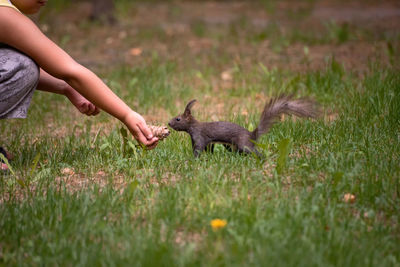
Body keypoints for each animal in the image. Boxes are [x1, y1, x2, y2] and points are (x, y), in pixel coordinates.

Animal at [169, 94, 318, 158]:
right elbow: (209, 148)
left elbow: (198, 149)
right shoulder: (207, 141)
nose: (169, 123)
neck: (193, 127)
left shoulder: (199, 137)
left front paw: (194, 159)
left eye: (178, 119)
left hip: (243, 144)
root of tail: (252, 135)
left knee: (254, 152)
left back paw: (262, 158)